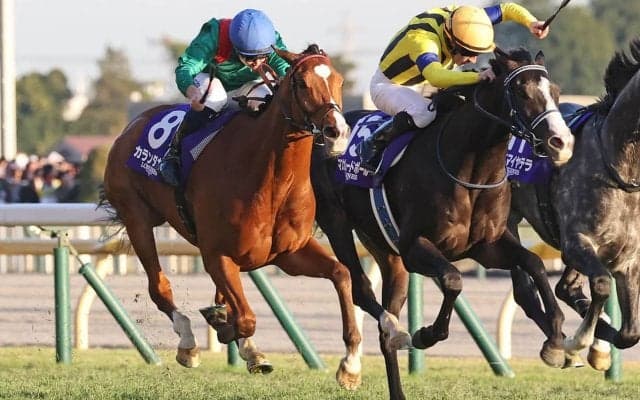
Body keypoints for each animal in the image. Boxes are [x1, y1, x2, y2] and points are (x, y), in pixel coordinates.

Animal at [98, 44, 364, 388]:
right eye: (302, 83)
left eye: (339, 81)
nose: (338, 132)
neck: (270, 178)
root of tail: (131, 127)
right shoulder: (218, 254)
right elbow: (246, 318)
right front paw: (227, 329)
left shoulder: (289, 254)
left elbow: (341, 273)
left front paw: (350, 366)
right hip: (137, 219)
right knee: (159, 288)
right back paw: (189, 344)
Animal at [311, 48, 575, 400]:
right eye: (521, 92)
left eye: (555, 92)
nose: (560, 141)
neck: (471, 170)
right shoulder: (415, 246)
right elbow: (453, 280)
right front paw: (426, 333)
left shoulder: (486, 247)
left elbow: (534, 262)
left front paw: (557, 341)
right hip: (338, 224)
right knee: (362, 292)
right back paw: (367, 353)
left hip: (384, 248)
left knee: (386, 319)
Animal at [508, 38, 640, 371]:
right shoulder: (577, 242)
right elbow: (602, 284)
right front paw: (577, 343)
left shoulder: (628, 257)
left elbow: (630, 333)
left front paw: (599, 347)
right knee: (526, 291)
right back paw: (558, 346)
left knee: (565, 287)